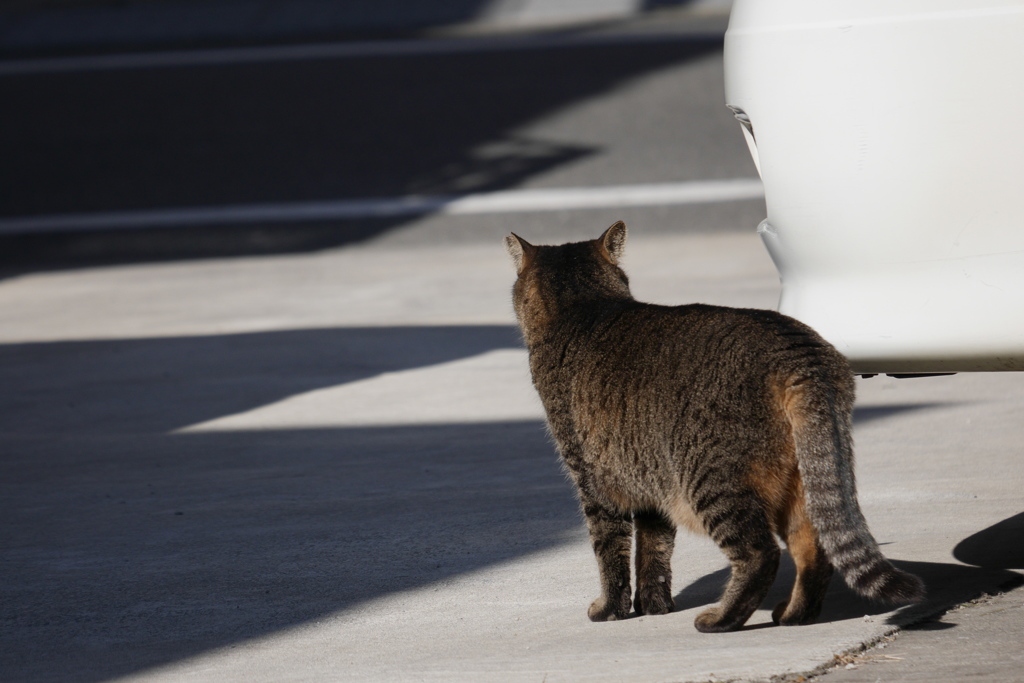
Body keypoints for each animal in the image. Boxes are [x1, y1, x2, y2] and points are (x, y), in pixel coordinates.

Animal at [505, 222, 929, 634]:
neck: (584, 307)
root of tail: (799, 354)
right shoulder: (651, 480)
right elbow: (655, 552)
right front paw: (654, 607)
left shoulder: (594, 481)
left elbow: (611, 552)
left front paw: (610, 610)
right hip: (799, 483)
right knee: (813, 548)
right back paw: (795, 614)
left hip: (713, 480)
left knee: (762, 554)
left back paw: (722, 619)